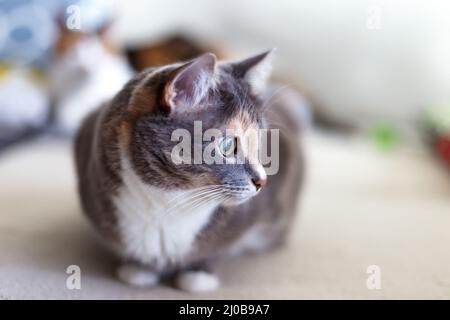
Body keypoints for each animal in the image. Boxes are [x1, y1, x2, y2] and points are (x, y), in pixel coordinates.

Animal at [74, 50, 306, 292]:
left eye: (258, 142)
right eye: (227, 145)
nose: (262, 180)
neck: (167, 202)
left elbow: (217, 247)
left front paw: (198, 274)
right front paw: (139, 268)